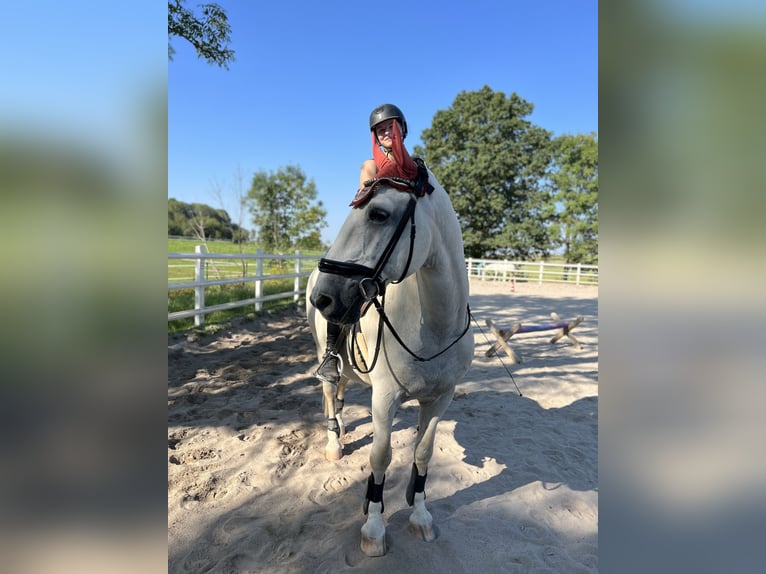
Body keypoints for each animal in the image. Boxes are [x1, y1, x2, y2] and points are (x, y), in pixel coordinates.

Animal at [306, 171, 474, 560]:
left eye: (378, 214)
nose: (322, 298)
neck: (434, 328)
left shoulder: (439, 399)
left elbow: (423, 454)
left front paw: (421, 517)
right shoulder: (384, 399)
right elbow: (380, 457)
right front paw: (373, 528)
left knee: (340, 390)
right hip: (325, 356)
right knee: (328, 391)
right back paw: (333, 442)